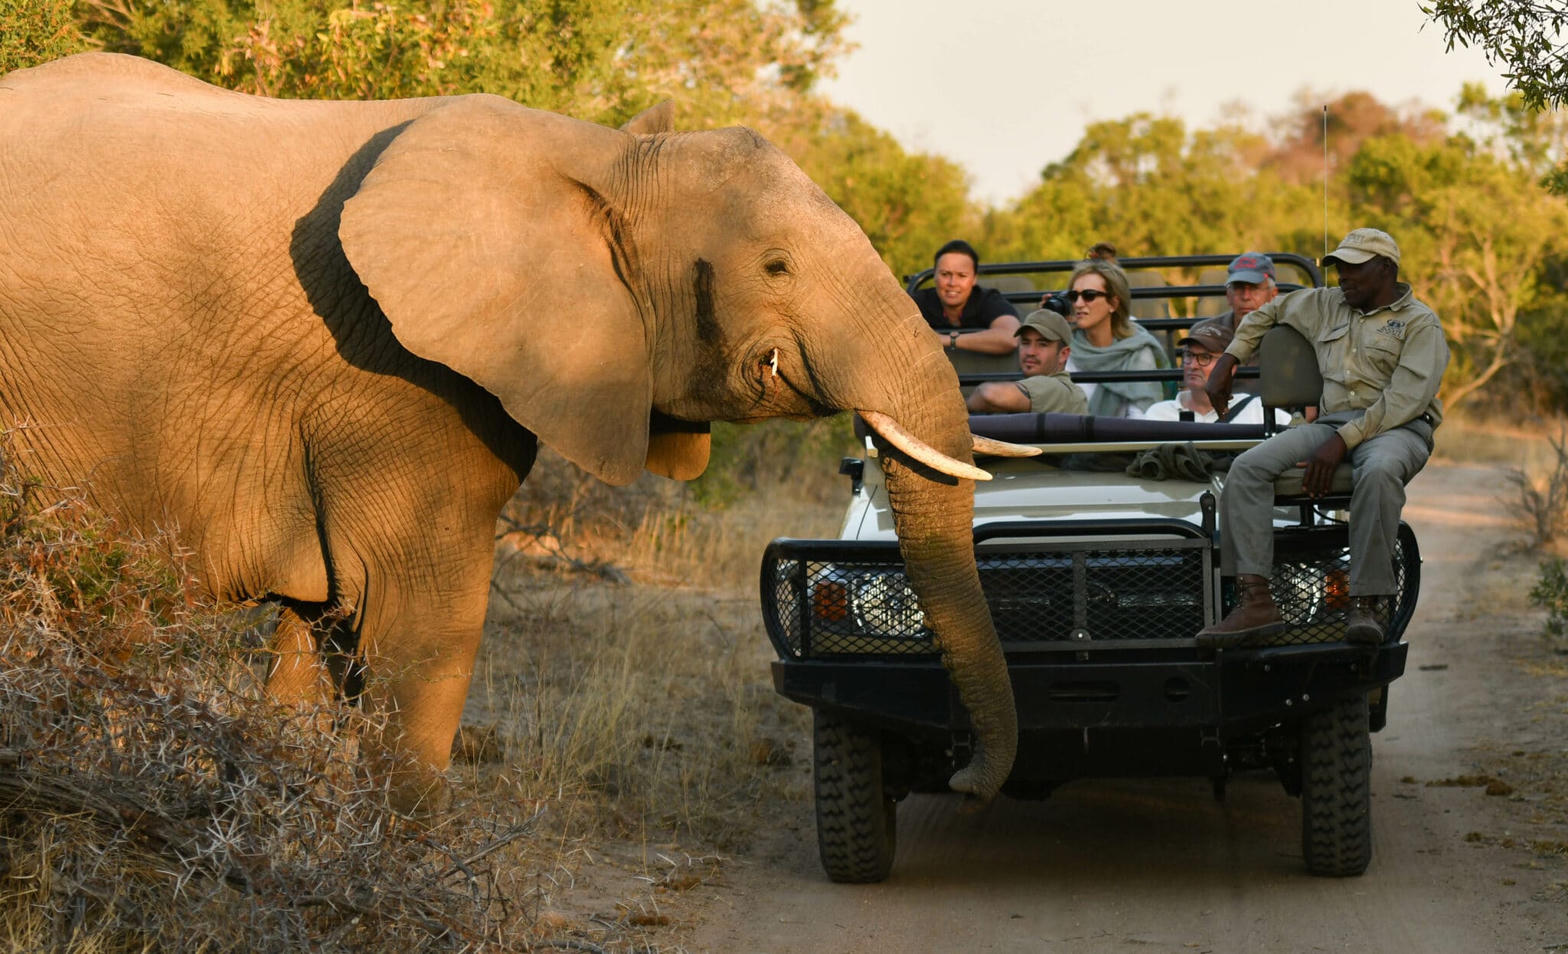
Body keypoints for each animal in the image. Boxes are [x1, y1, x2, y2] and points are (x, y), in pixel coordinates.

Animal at [0, 53, 1020, 810]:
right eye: (774, 265)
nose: (965, 778)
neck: (598, 156)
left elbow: (320, 630)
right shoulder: (395, 376)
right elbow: (415, 619)